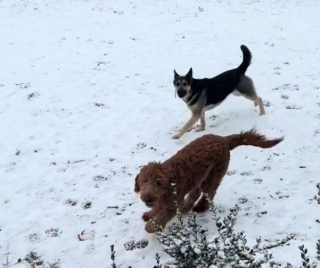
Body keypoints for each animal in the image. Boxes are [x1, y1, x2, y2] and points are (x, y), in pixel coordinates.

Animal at [134, 129, 284, 233]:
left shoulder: (173, 203)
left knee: (209, 193)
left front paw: (151, 226)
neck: (170, 178)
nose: (147, 198)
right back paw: (187, 207)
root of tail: (224, 140)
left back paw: (200, 207)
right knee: (196, 193)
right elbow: (158, 207)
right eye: (143, 182)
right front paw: (149, 214)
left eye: (158, 183)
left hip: (213, 175)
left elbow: (162, 216)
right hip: (200, 177)